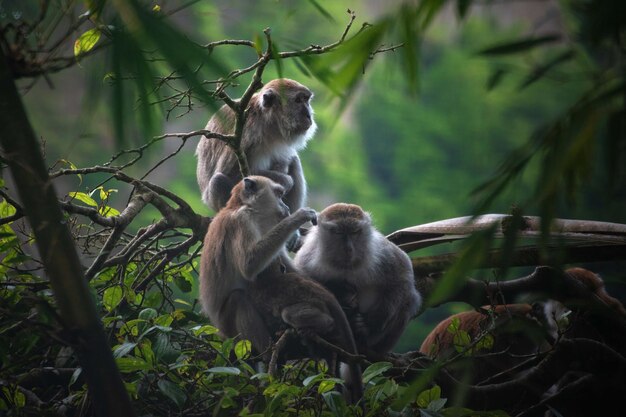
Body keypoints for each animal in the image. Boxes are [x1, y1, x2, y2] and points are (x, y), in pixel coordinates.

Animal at [196, 77, 316, 213]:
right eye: (298, 100)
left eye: (306, 100)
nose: (308, 115)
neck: (267, 123)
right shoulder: (245, 133)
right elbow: (231, 174)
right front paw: (286, 181)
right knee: (218, 180)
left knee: (294, 160)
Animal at [197, 176, 364, 404]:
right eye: (278, 194)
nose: (285, 206)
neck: (244, 208)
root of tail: (218, 328)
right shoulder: (241, 221)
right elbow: (250, 265)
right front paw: (298, 217)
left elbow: (285, 265)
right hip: (228, 326)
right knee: (238, 299)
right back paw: (270, 354)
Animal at [292, 202, 420, 354]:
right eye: (339, 232)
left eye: (354, 232)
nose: (348, 248)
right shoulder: (307, 256)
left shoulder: (381, 250)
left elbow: (402, 273)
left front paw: (373, 322)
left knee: (408, 298)